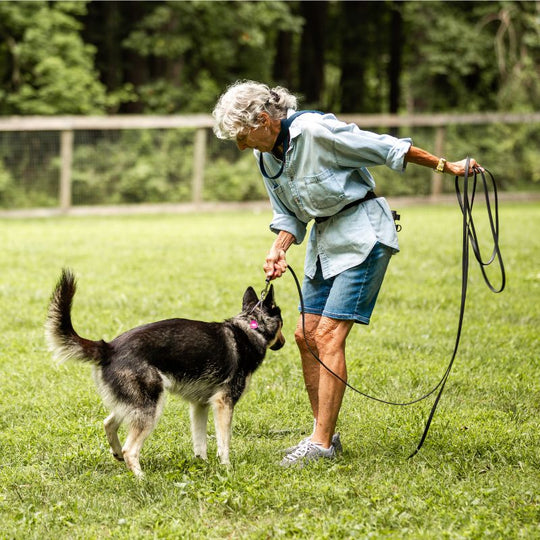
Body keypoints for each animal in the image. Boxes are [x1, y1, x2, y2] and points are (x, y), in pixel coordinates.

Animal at [45, 270, 286, 476]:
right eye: (283, 324)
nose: (284, 343)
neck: (251, 327)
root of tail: (109, 347)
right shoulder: (223, 403)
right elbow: (223, 442)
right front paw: (225, 467)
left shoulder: (200, 406)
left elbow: (200, 441)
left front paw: (203, 464)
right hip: (151, 407)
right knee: (130, 449)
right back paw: (141, 478)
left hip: (134, 404)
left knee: (108, 423)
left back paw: (117, 454)